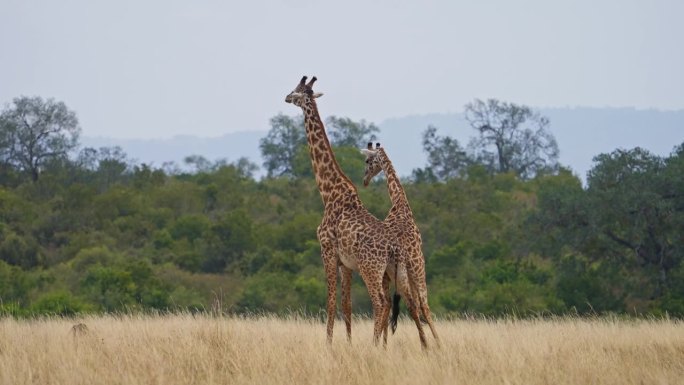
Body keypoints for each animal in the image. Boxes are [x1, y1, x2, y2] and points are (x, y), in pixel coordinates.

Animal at [284, 76, 428, 346]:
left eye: (296, 91)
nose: (286, 98)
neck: (329, 192)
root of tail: (394, 247)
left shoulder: (327, 251)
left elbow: (331, 302)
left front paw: (329, 345)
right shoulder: (347, 263)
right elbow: (347, 305)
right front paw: (348, 344)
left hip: (373, 269)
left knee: (382, 303)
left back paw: (376, 346)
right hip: (391, 272)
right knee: (407, 304)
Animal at [360, 141, 440, 344]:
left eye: (368, 161)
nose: (365, 180)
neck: (400, 202)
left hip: (407, 273)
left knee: (412, 304)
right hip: (414, 271)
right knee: (419, 304)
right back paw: (433, 343)